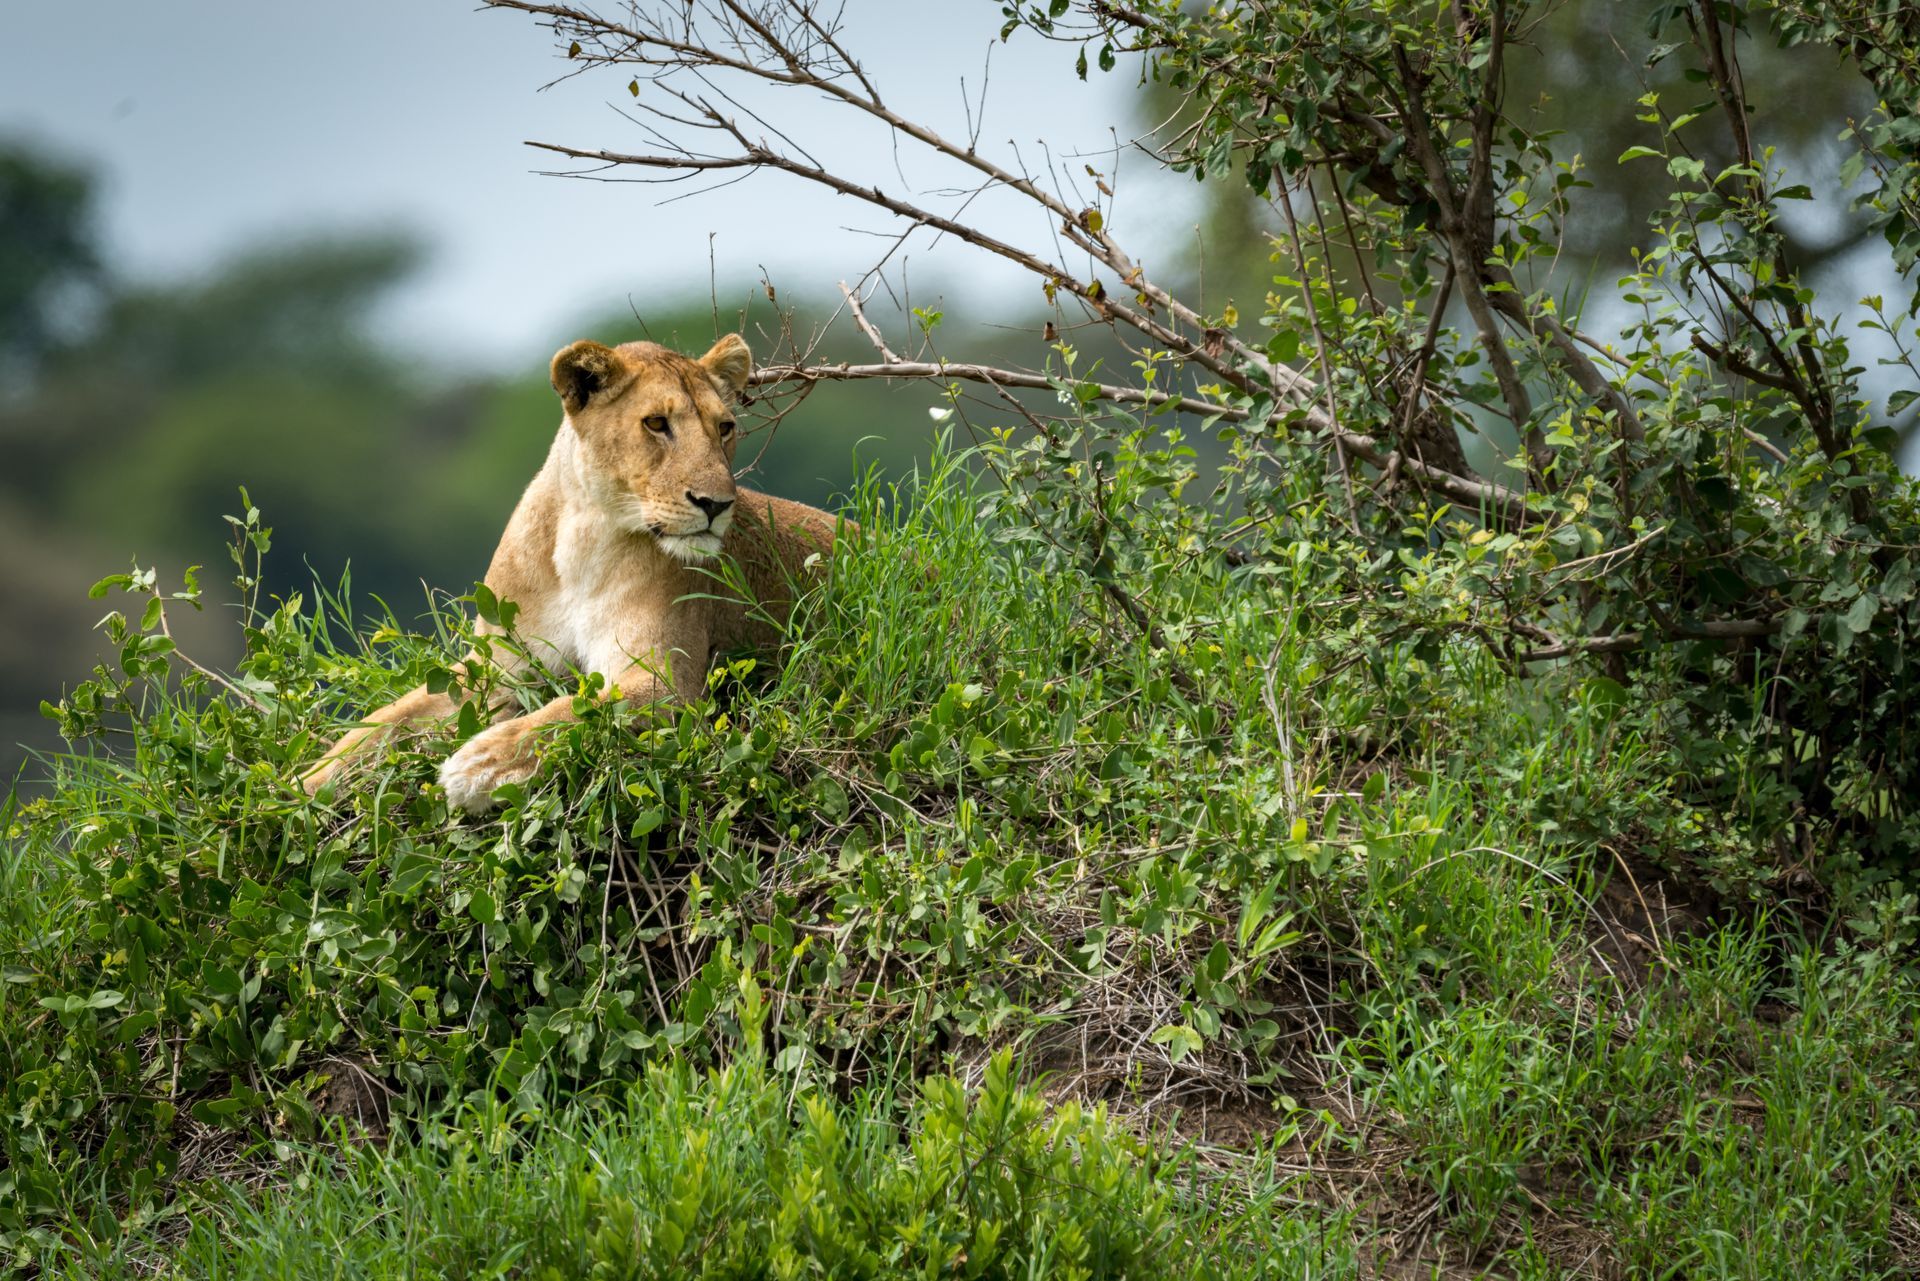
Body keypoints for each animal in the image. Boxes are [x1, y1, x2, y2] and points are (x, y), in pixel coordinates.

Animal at [300, 333, 847, 813]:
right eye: (656, 423)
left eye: (725, 427)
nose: (716, 504)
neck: (582, 541)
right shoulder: (496, 670)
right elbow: (387, 720)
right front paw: (305, 783)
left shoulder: (666, 683)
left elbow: (573, 711)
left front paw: (478, 765)